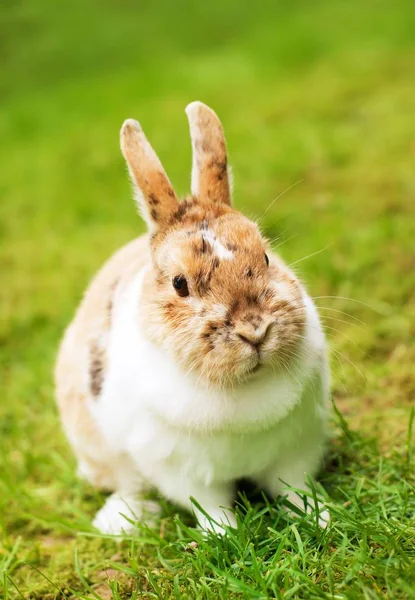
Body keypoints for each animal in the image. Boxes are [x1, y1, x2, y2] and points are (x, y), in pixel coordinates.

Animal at [54, 99, 332, 536]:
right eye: (179, 284)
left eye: (266, 257)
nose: (255, 330)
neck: (243, 387)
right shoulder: (183, 472)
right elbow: (210, 505)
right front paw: (226, 533)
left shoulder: (297, 447)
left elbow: (294, 487)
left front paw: (319, 518)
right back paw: (123, 520)